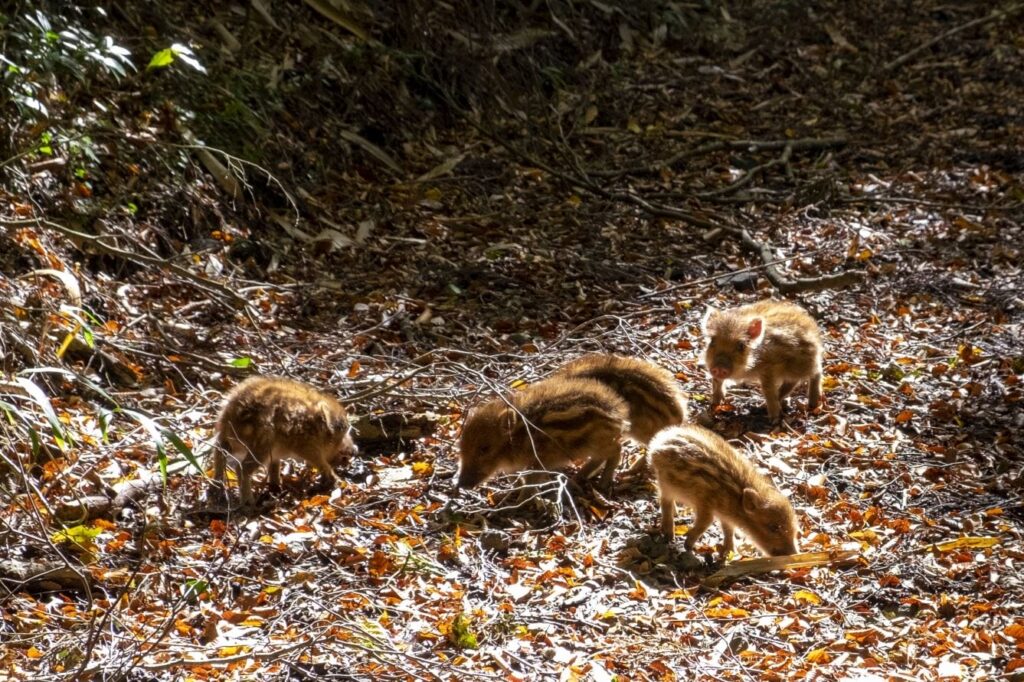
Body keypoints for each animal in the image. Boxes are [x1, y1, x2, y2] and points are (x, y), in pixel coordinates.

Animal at [211, 376, 358, 507]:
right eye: (342, 432)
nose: (354, 450)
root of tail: (230, 416)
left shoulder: (277, 454)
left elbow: (275, 466)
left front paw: (276, 488)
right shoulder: (307, 447)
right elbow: (321, 463)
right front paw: (337, 481)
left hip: (230, 442)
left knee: (218, 452)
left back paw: (217, 488)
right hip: (260, 447)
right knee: (242, 467)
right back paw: (248, 502)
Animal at [456, 377, 629, 492]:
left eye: (484, 448)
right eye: (461, 447)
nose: (460, 485)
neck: (520, 436)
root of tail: (617, 412)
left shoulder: (542, 460)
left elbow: (531, 480)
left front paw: (522, 500)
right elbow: (513, 475)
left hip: (595, 442)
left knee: (616, 449)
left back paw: (602, 483)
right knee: (601, 457)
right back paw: (576, 479)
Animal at [649, 424, 798, 557]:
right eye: (773, 527)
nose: (794, 554)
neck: (734, 497)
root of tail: (656, 444)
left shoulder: (725, 515)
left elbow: (728, 529)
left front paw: (730, 551)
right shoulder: (705, 503)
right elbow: (706, 523)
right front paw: (688, 545)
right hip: (666, 483)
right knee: (665, 501)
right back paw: (669, 535)